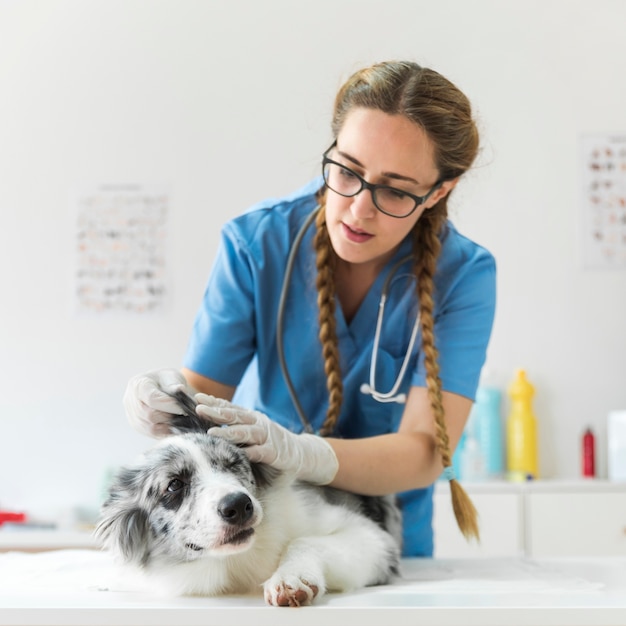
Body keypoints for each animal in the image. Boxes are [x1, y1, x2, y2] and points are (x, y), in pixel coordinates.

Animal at [95, 390, 402, 604]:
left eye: (233, 464)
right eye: (174, 486)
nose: (239, 506)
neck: (234, 562)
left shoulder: (373, 538)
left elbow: (304, 541)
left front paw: (291, 578)